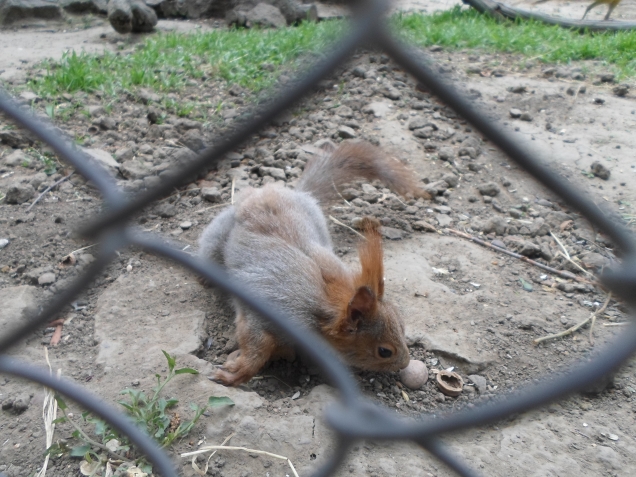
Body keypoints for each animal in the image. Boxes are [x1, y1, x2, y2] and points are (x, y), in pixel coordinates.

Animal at [198, 139, 428, 384]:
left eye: (403, 325)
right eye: (384, 351)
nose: (404, 363)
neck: (325, 307)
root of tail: (282, 192)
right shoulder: (265, 312)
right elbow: (257, 346)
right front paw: (235, 373)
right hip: (217, 235)